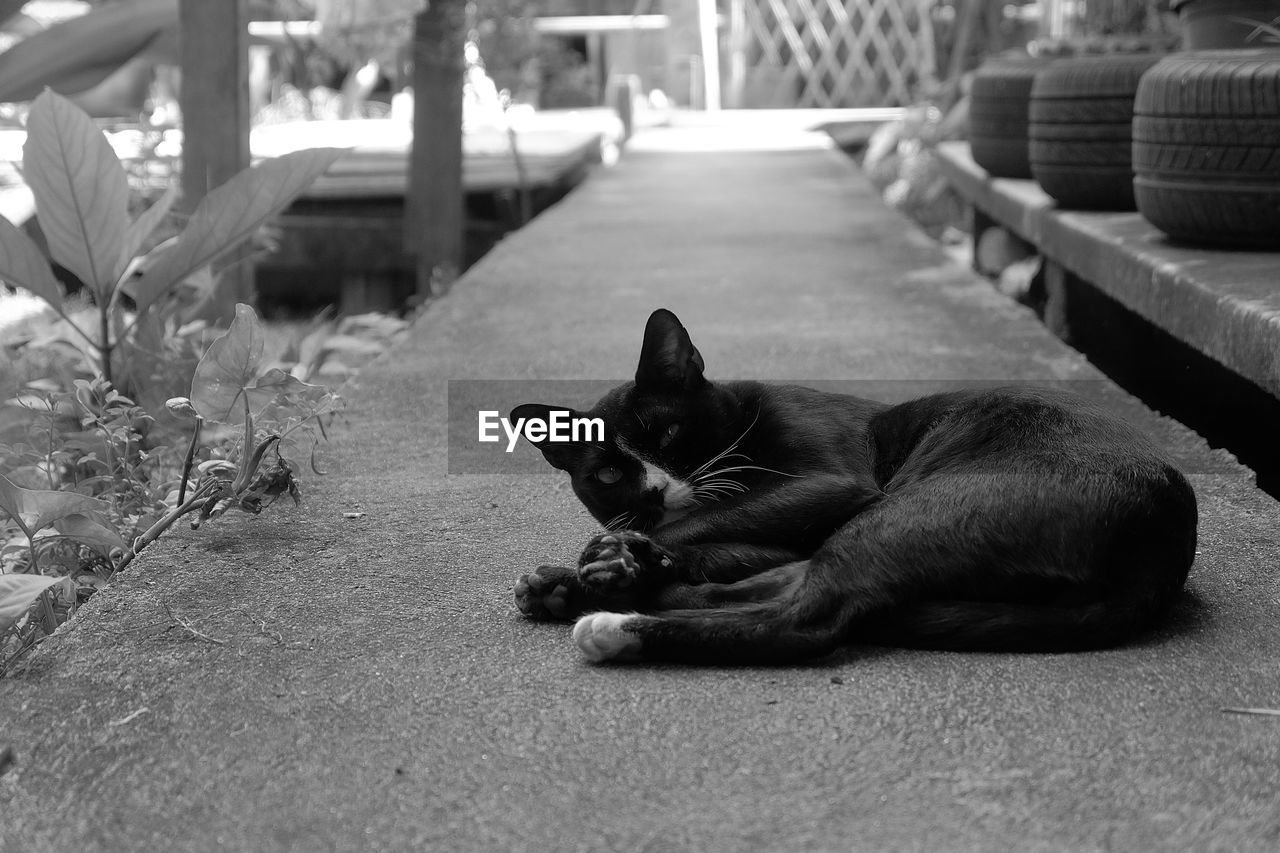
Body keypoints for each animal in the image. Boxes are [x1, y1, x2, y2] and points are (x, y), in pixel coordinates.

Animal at [512, 307, 1198, 666]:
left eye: (670, 431)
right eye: (607, 475)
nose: (653, 493)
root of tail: (1160, 547)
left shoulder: (832, 483)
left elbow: (707, 523)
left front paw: (610, 557)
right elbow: (725, 545)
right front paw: (606, 562)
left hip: (905, 510)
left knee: (808, 616)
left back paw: (615, 622)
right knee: (785, 581)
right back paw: (580, 590)